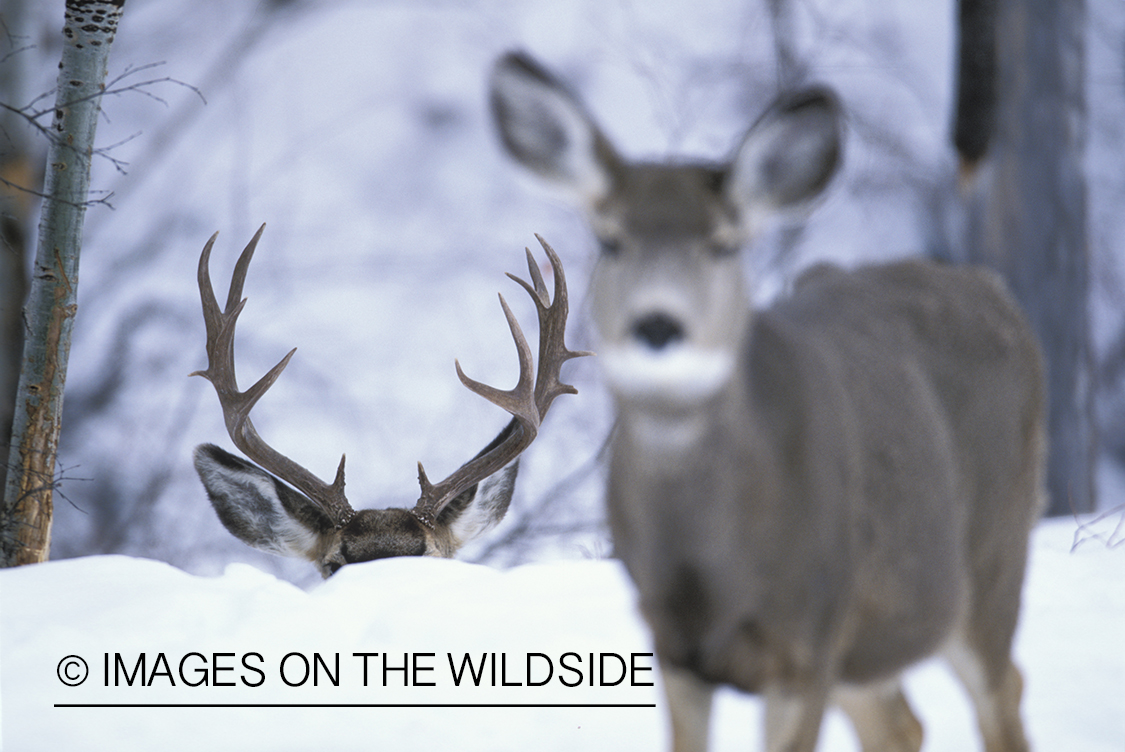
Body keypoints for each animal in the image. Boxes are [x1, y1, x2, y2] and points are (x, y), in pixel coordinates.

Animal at [492, 51, 1044, 752]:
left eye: (725, 242)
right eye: (611, 239)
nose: (658, 325)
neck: (715, 575)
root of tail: (992, 287)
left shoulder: (809, 639)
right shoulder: (673, 647)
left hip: (993, 560)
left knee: (1004, 692)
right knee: (903, 721)